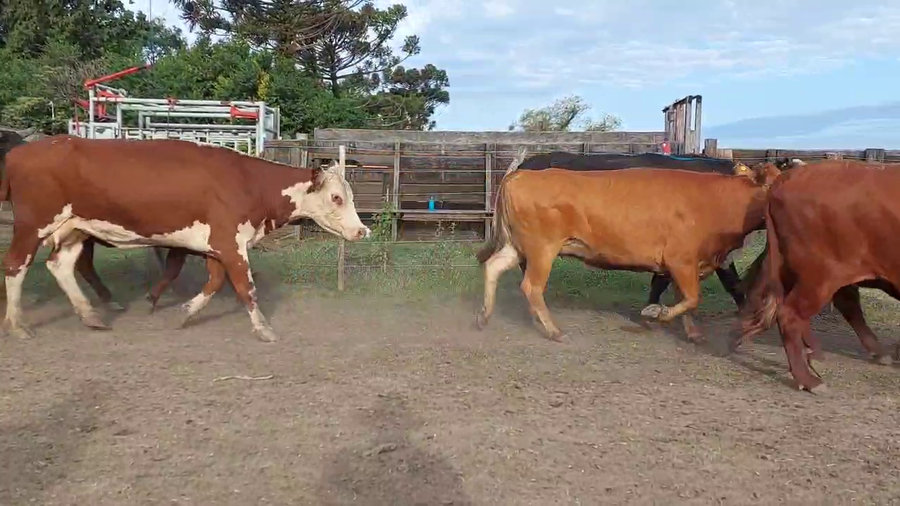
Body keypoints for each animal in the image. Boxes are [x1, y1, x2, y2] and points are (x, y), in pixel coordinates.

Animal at [1, 135, 370, 342]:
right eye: (337, 197)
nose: (360, 230)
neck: (247, 181)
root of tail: (20, 152)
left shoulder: (216, 245)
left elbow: (214, 281)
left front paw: (185, 312)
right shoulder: (230, 242)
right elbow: (244, 286)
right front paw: (263, 328)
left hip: (76, 228)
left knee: (62, 266)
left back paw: (91, 315)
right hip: (33, 224)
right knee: (15, 265)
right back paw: (18, 324)